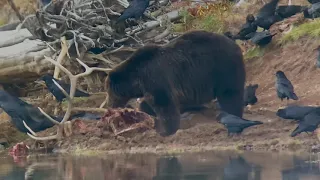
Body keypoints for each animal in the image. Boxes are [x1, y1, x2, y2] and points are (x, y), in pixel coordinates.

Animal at [106, 29, 246, 136]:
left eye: (109, 93)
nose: (110, 107)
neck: (137, 78)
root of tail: (236, 46)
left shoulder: (155, 77)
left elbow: (164, 103)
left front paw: (166, 131)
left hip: (221, 68)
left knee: (230, 94)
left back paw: (233, 116)